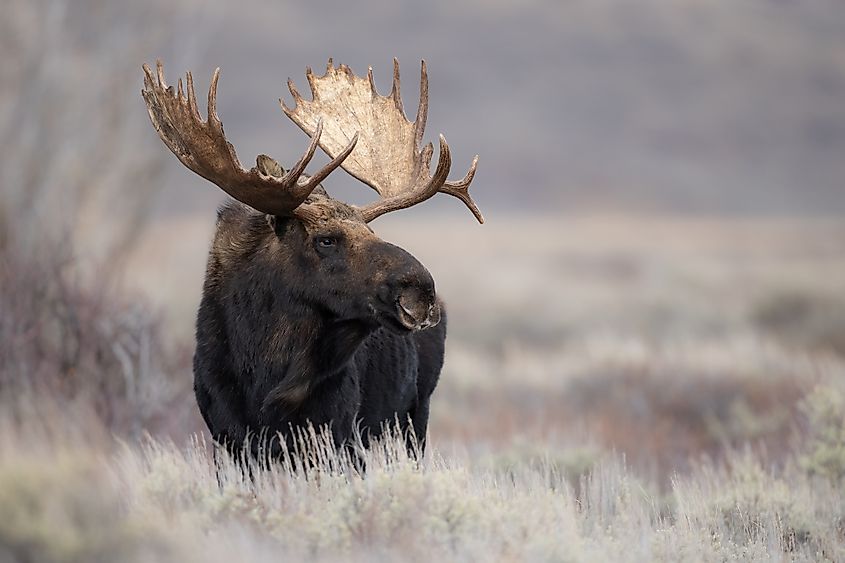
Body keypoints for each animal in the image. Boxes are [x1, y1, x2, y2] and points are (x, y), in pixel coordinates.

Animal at [142, 58, 478, 462]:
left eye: (372, 232)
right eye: (326, 239)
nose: (421, 292)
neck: (266, 369)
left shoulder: (339, 434)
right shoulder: (228, 439)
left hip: (415, 416)